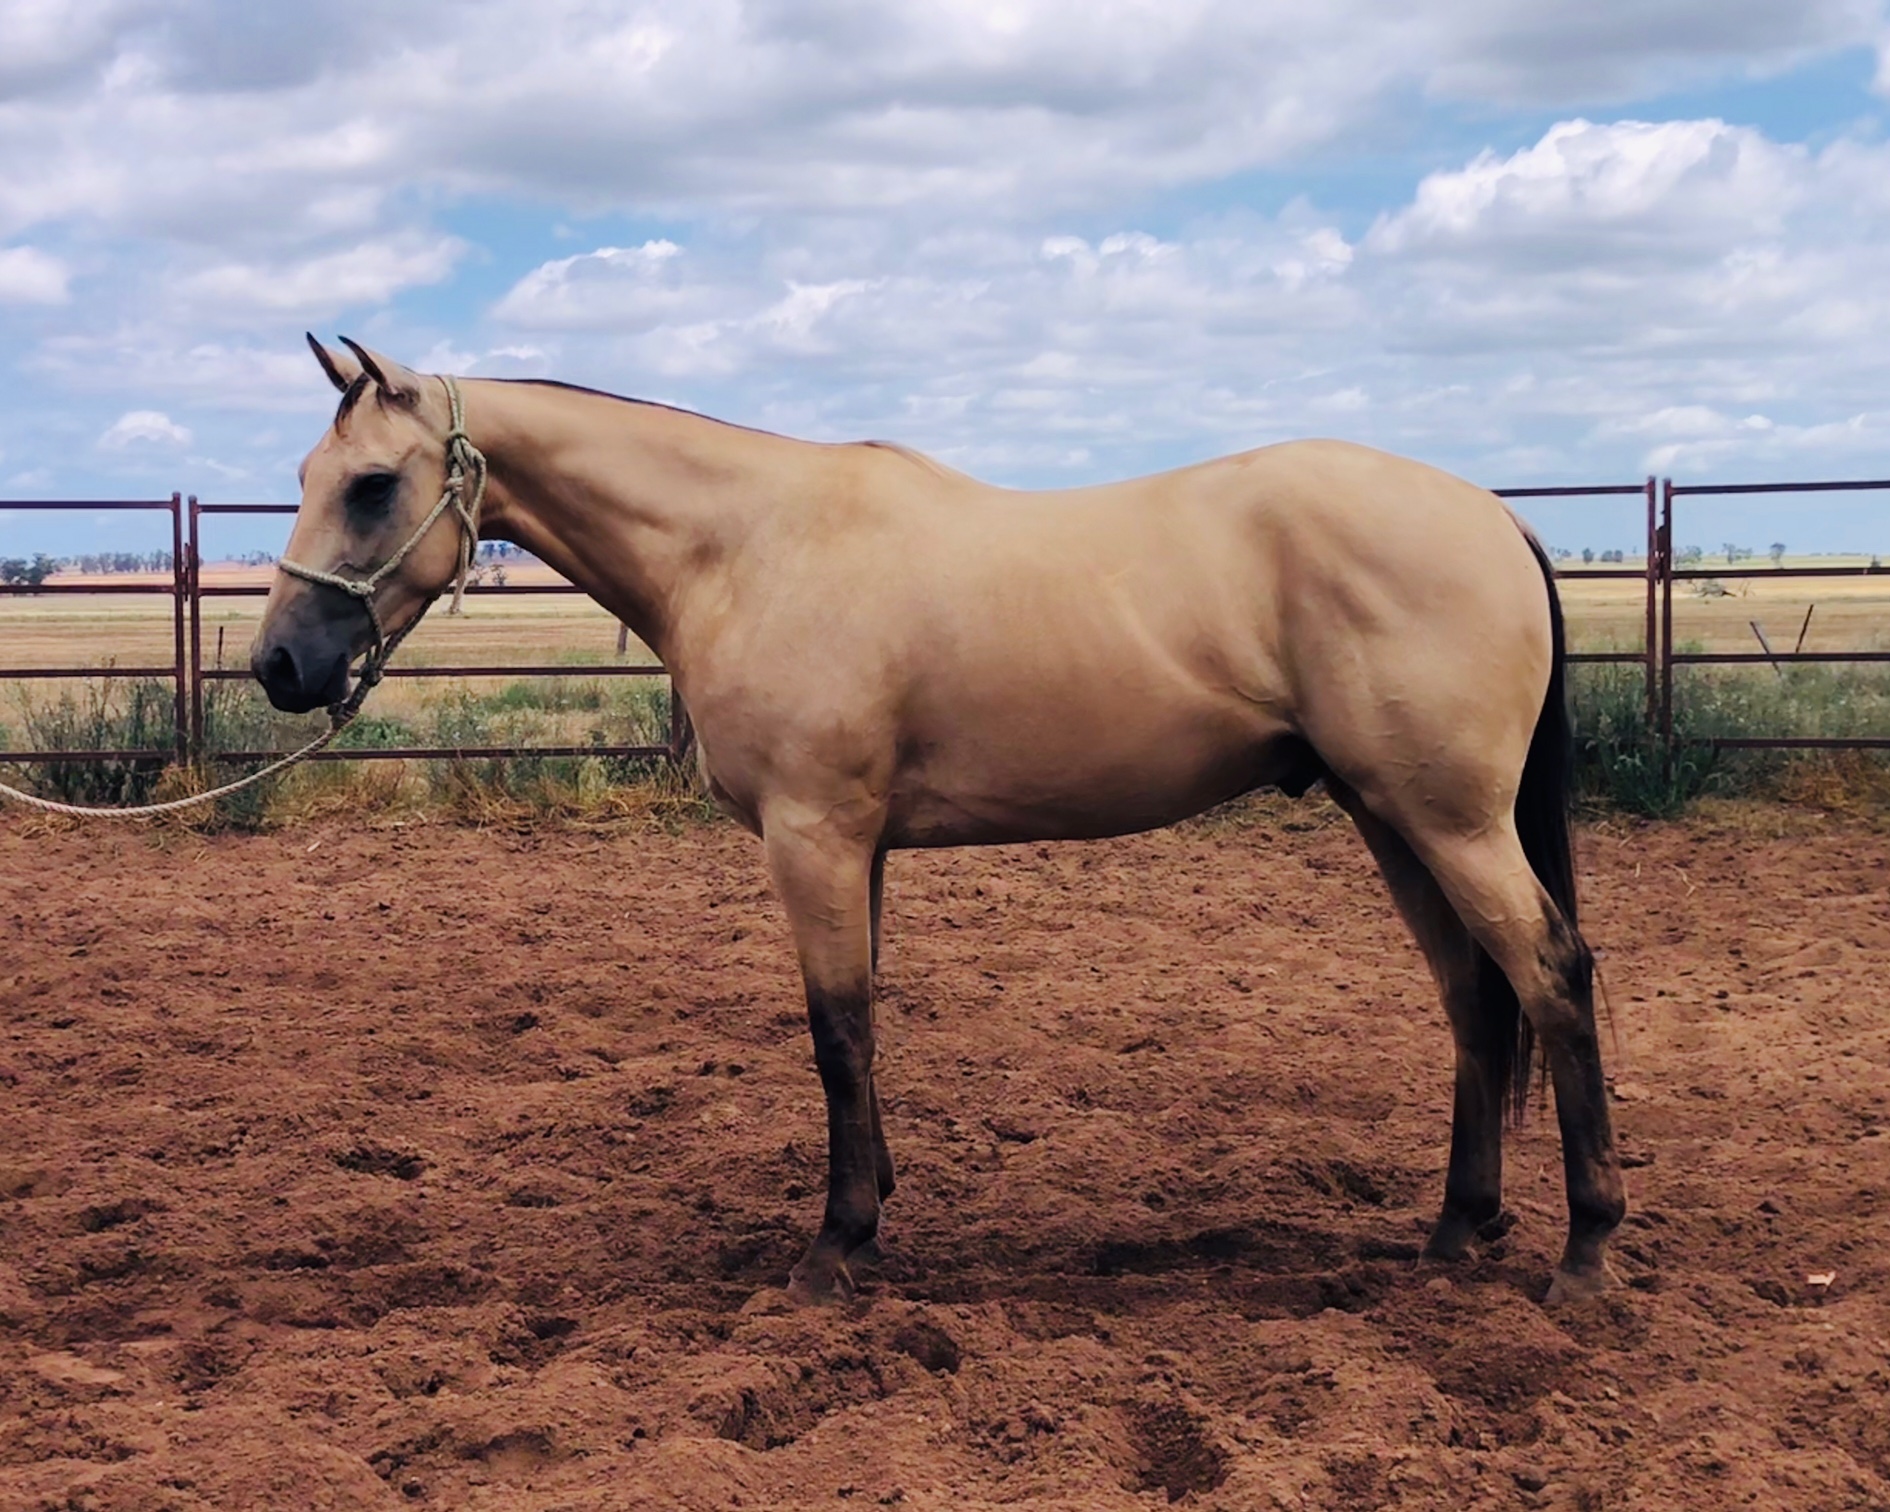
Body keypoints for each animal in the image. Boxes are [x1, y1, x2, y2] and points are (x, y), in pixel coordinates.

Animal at [253, 335, 1626, 1306]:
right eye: (309, 479)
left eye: (371, 487)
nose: (279, 666)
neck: (746, 547)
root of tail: (1495, 514)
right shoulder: (855, 849)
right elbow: (861, 1033)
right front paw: (871, 1223)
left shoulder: (813, 838)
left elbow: (838, 1034)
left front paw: (833, 1250)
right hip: (1392, 817)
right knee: (1474, 997)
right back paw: (1454, 1231)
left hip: (1450, 821)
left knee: (1551, 977)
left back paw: (1586, 1253)